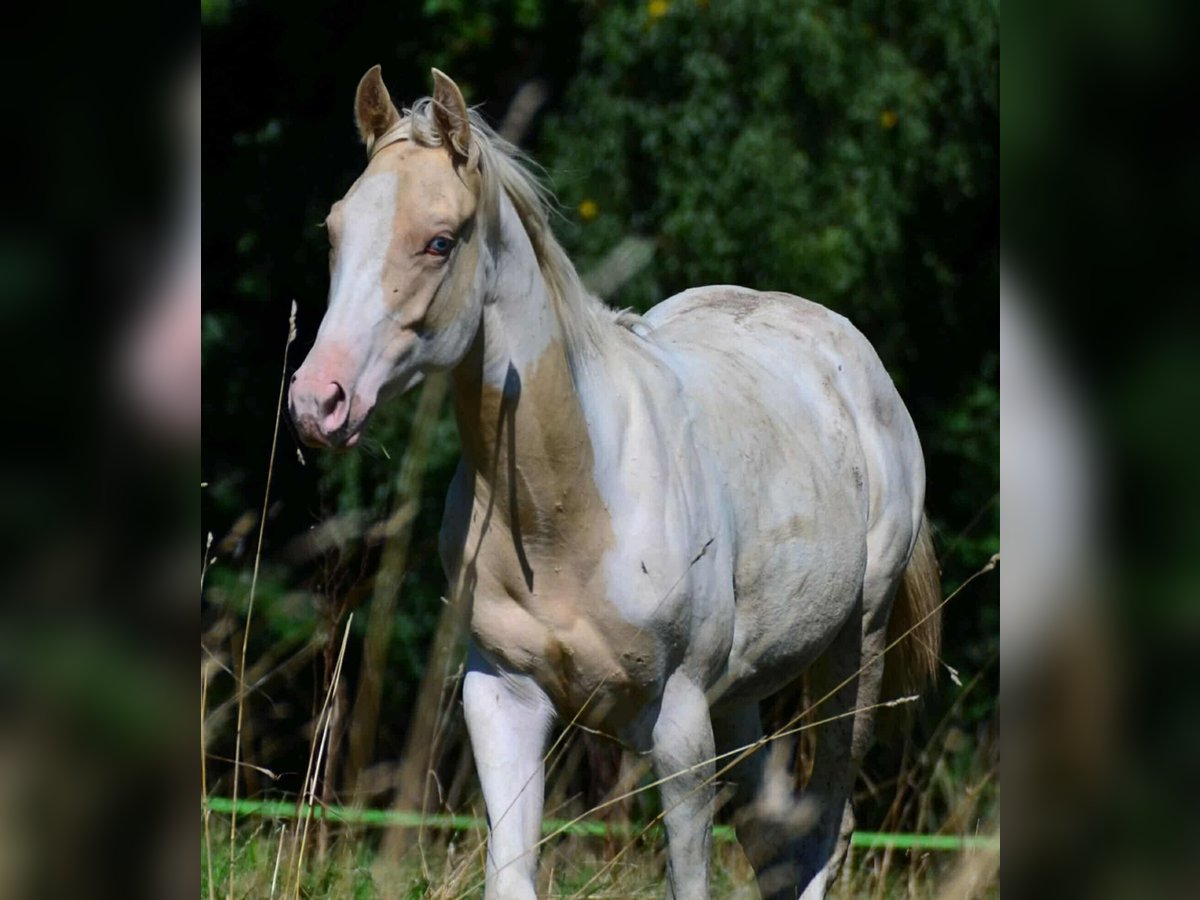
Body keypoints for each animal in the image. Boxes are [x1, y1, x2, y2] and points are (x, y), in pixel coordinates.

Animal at [289, 66, 942, 900]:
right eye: (335, 232)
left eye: (438, 241)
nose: (319, 401)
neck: (565, 508)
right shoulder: (502, 699)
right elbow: (512, 877)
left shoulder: (680, 723)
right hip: (744, 695)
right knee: (778, 840)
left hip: (852, 652)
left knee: (827, 828)